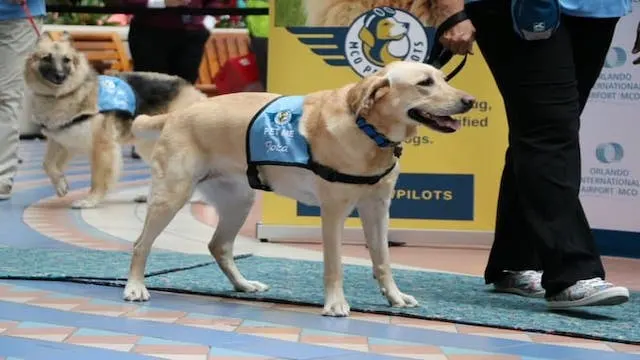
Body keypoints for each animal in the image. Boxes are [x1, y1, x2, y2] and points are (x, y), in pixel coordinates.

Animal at [24, 33, 205, 211]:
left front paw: (91, 200)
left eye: (66, 60)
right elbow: (47, 165)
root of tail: (194, 92)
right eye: (46, 58)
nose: (60, 76)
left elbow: (97, 178)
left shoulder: (102, 148)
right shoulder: (63, 141)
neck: (67, 94)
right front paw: (61, 185)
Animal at [124, 60, 476, 316]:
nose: (470, 100)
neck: (368, 129)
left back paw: (244, 285)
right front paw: (335, 304)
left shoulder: (377, 209)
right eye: (424, 83)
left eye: (443, 78)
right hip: (171, 195)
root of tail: (176, 115)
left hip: (239, 200)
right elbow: (334, 264)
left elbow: (383, 260)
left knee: (218, 246)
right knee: (141, 244)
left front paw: (395, 297)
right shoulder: (333, 212)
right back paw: (134, 287)